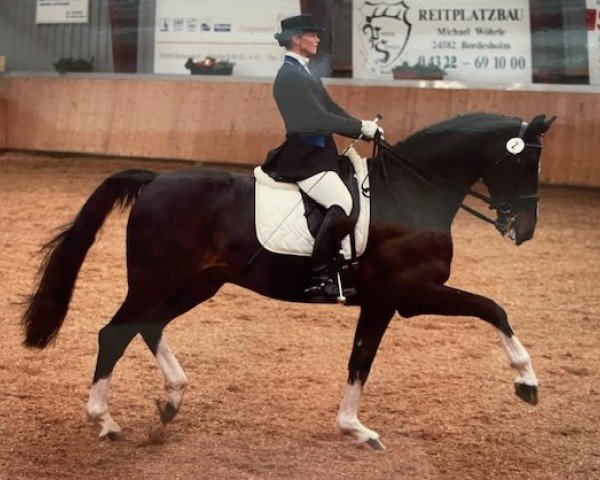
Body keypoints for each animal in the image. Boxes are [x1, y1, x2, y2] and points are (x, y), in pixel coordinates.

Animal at [23, 112, 556, 450]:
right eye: (523, 162)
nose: (526, 230)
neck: (409, 195)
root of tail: (154, 180)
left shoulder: (395, 299)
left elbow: (367, 357)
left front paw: (353, 428)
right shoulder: (406, 294)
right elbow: (488, 310)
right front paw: (526, 382)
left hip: (196, 284)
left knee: (146, 326)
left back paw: (172, 397)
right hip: (155, 281)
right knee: (114, 332)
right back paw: (106, 422)